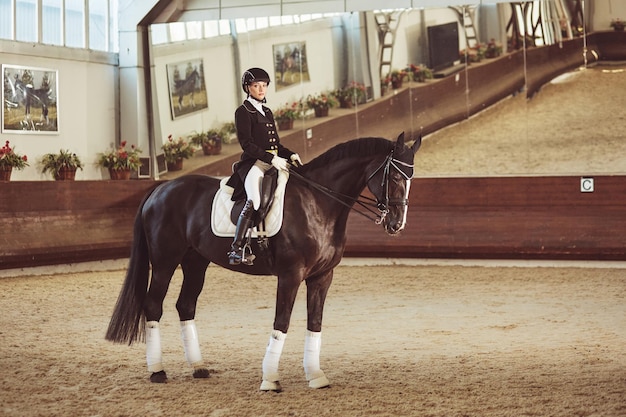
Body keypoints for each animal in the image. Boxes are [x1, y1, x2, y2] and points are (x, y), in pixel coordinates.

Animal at [106, 134, 420, 390]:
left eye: (410, 179)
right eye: (394, 178)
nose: (397, 224)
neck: (318, 202)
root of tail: (159, 190)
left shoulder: (322, 276)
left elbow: (315, 322)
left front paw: (316, 376)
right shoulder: (290, 275)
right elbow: (281, 321)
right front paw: (270, 379)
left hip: (196, 262)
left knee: (185, 305)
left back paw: (198, 367)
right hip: (164, 262)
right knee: (153, 305)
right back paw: (157, 371)